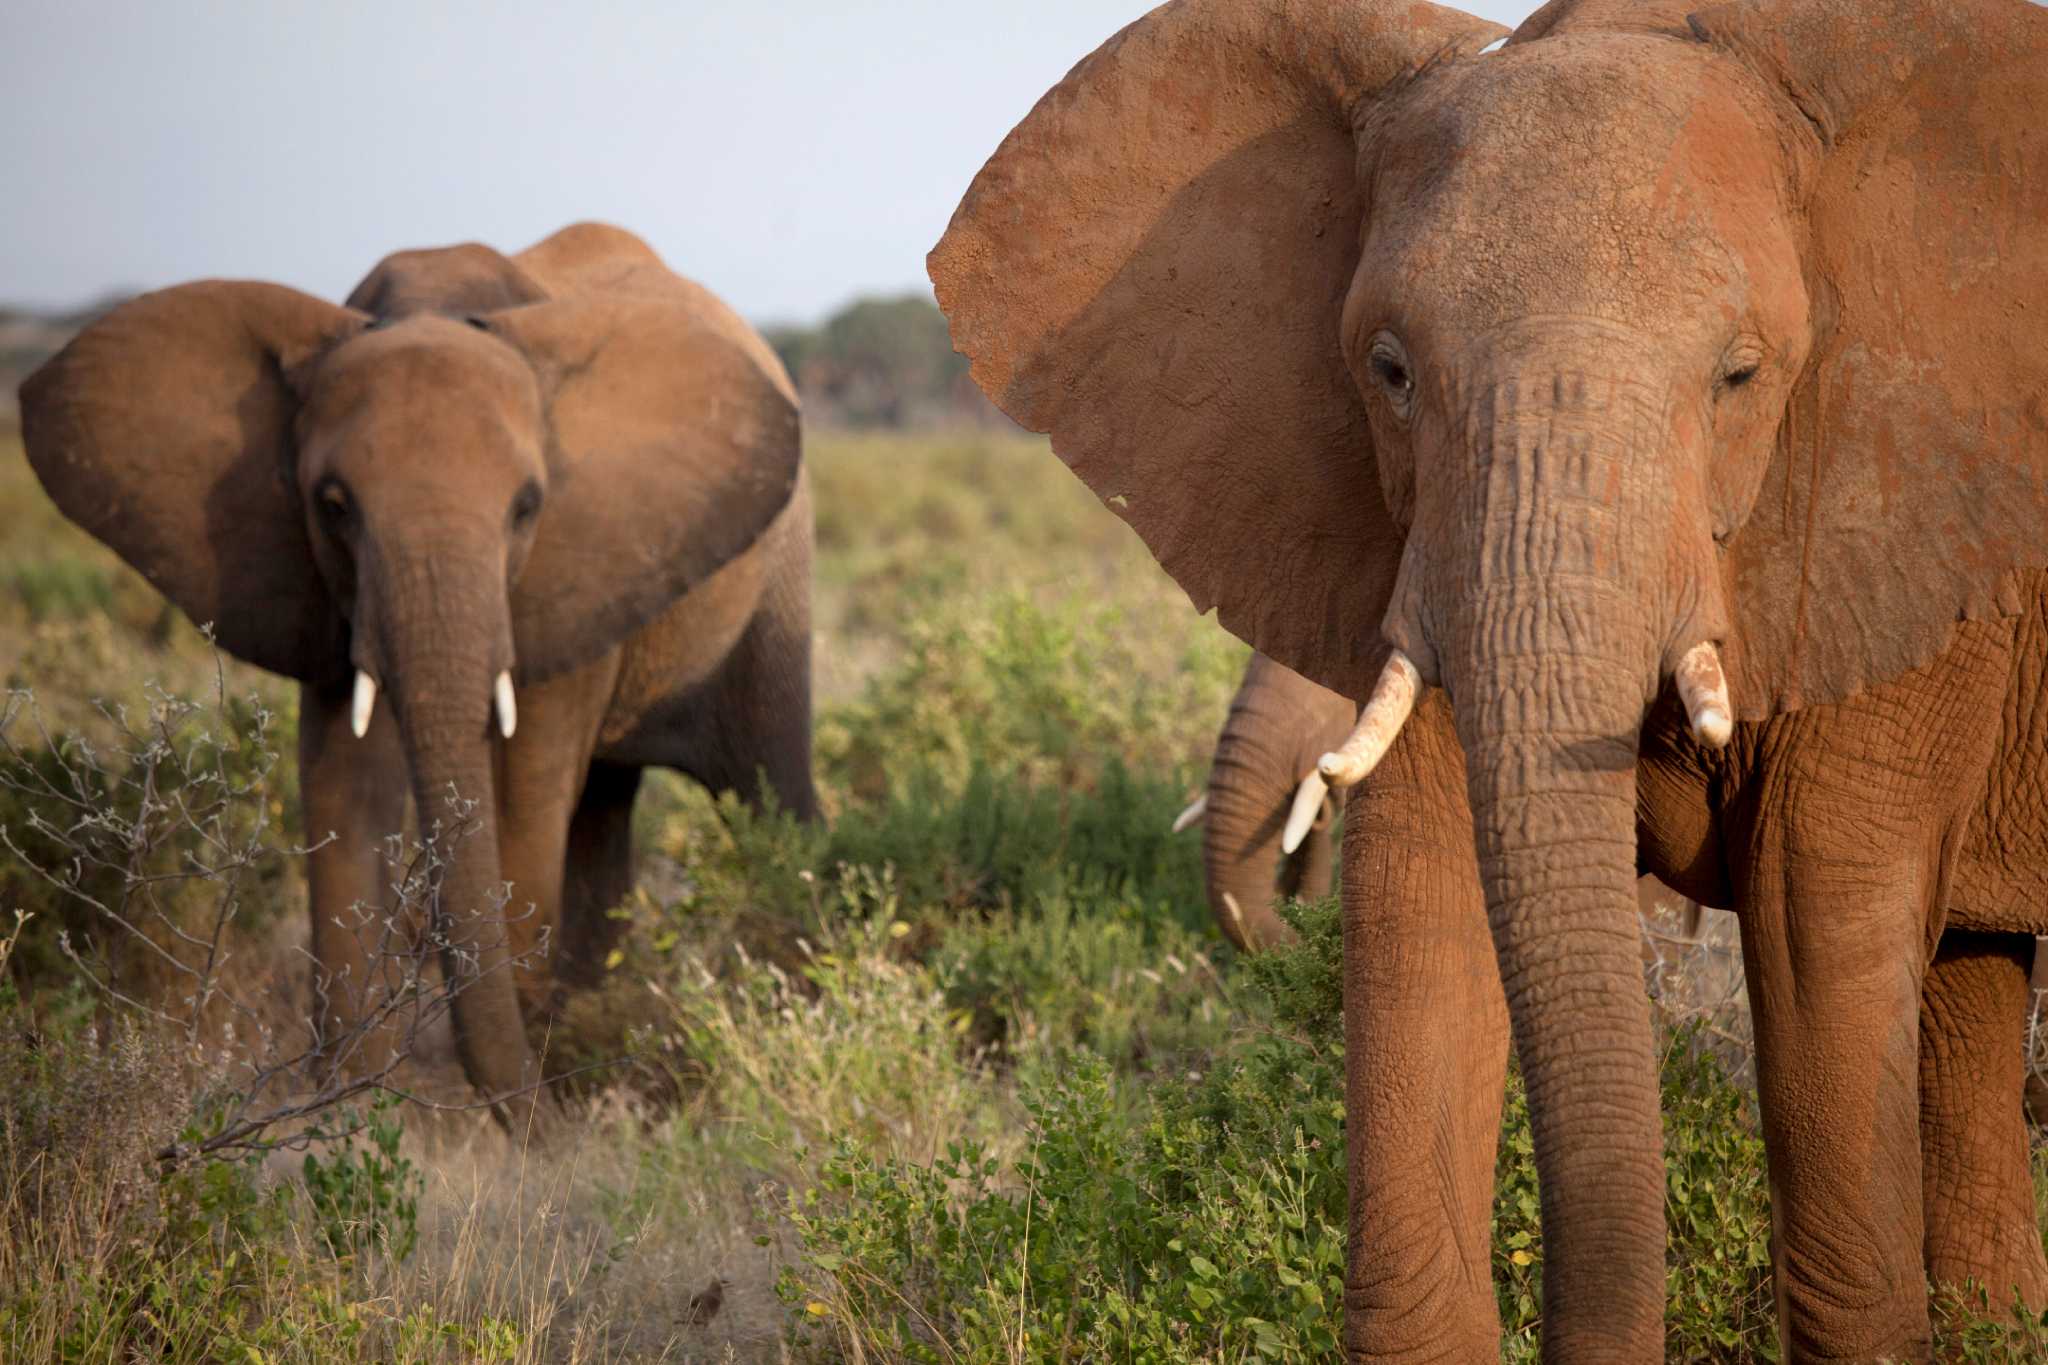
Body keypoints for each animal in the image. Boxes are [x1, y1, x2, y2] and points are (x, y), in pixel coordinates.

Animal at [18, 222, 820, 1120]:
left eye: (527, 507)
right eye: (333, 505)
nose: (542, 1119)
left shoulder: (571, 566)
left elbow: (523, 794)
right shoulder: (322, 586)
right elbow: (345, 782)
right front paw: (345, 1117)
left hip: (775, 580)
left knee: (768, 786)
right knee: (604, 814)